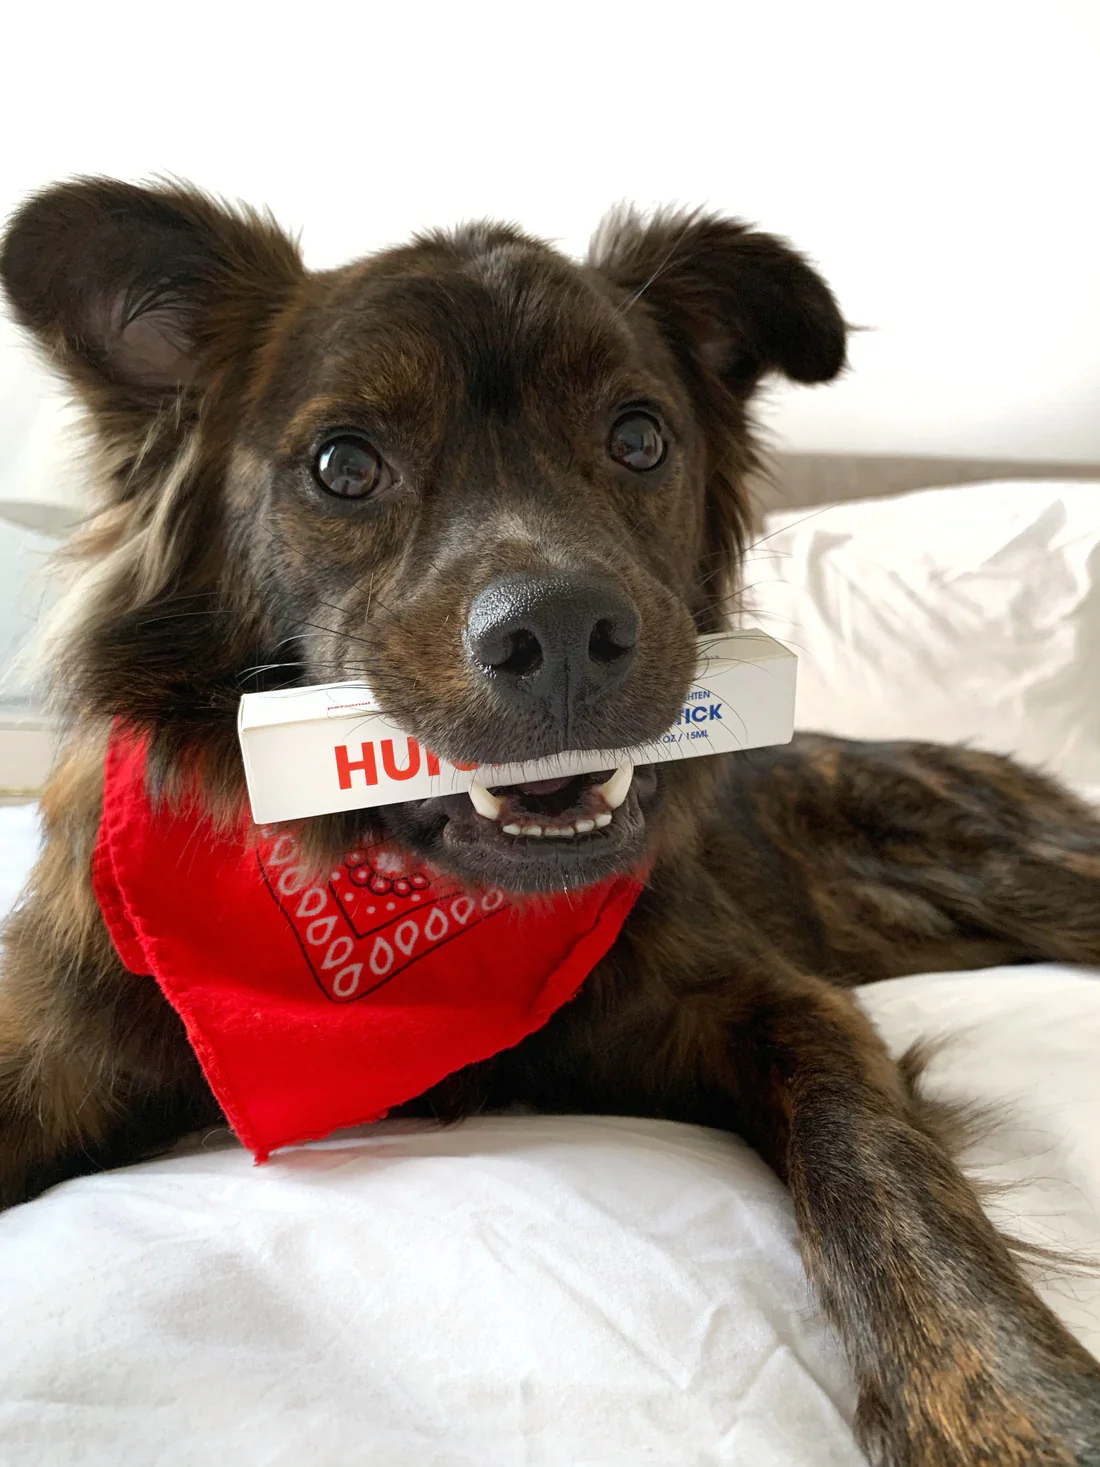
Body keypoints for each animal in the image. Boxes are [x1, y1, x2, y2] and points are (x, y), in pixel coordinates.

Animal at [2, 183, 1100, 1467]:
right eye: (343, 463)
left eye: (638, 439)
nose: (565, 632)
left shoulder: (771, 1005)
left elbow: (879, 1166)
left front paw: (1009, 1410)